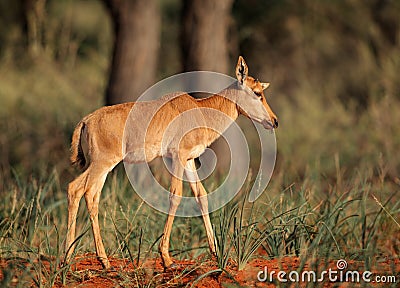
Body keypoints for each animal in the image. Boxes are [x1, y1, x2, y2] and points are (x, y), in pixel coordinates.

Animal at [65, 56, 278, 270]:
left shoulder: (189, 160)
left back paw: (103, 260)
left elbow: (201, 195)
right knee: (75, 188)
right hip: (102, 164)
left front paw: (215, 252)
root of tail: (86, 121)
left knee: (91, 196)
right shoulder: (177, 157)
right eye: (257, 92)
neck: (198, 109)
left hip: (103, 169)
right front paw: (166, 258)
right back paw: (67, 258)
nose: (274, 121)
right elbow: (175, 195)